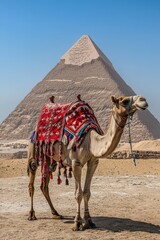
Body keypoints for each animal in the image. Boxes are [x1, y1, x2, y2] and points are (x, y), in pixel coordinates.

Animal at [27, 95, 148, 231]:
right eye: (124, 101)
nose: (143, 100)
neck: (91, 141)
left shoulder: (93, 162)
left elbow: (86, 192)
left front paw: (88, 221)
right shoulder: (76, 162)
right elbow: (78, 194)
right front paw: (77, 223)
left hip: (49, 158)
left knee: (44, 185)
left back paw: (56, 213)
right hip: (34, 150)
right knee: (32, 181)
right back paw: (32, 214)